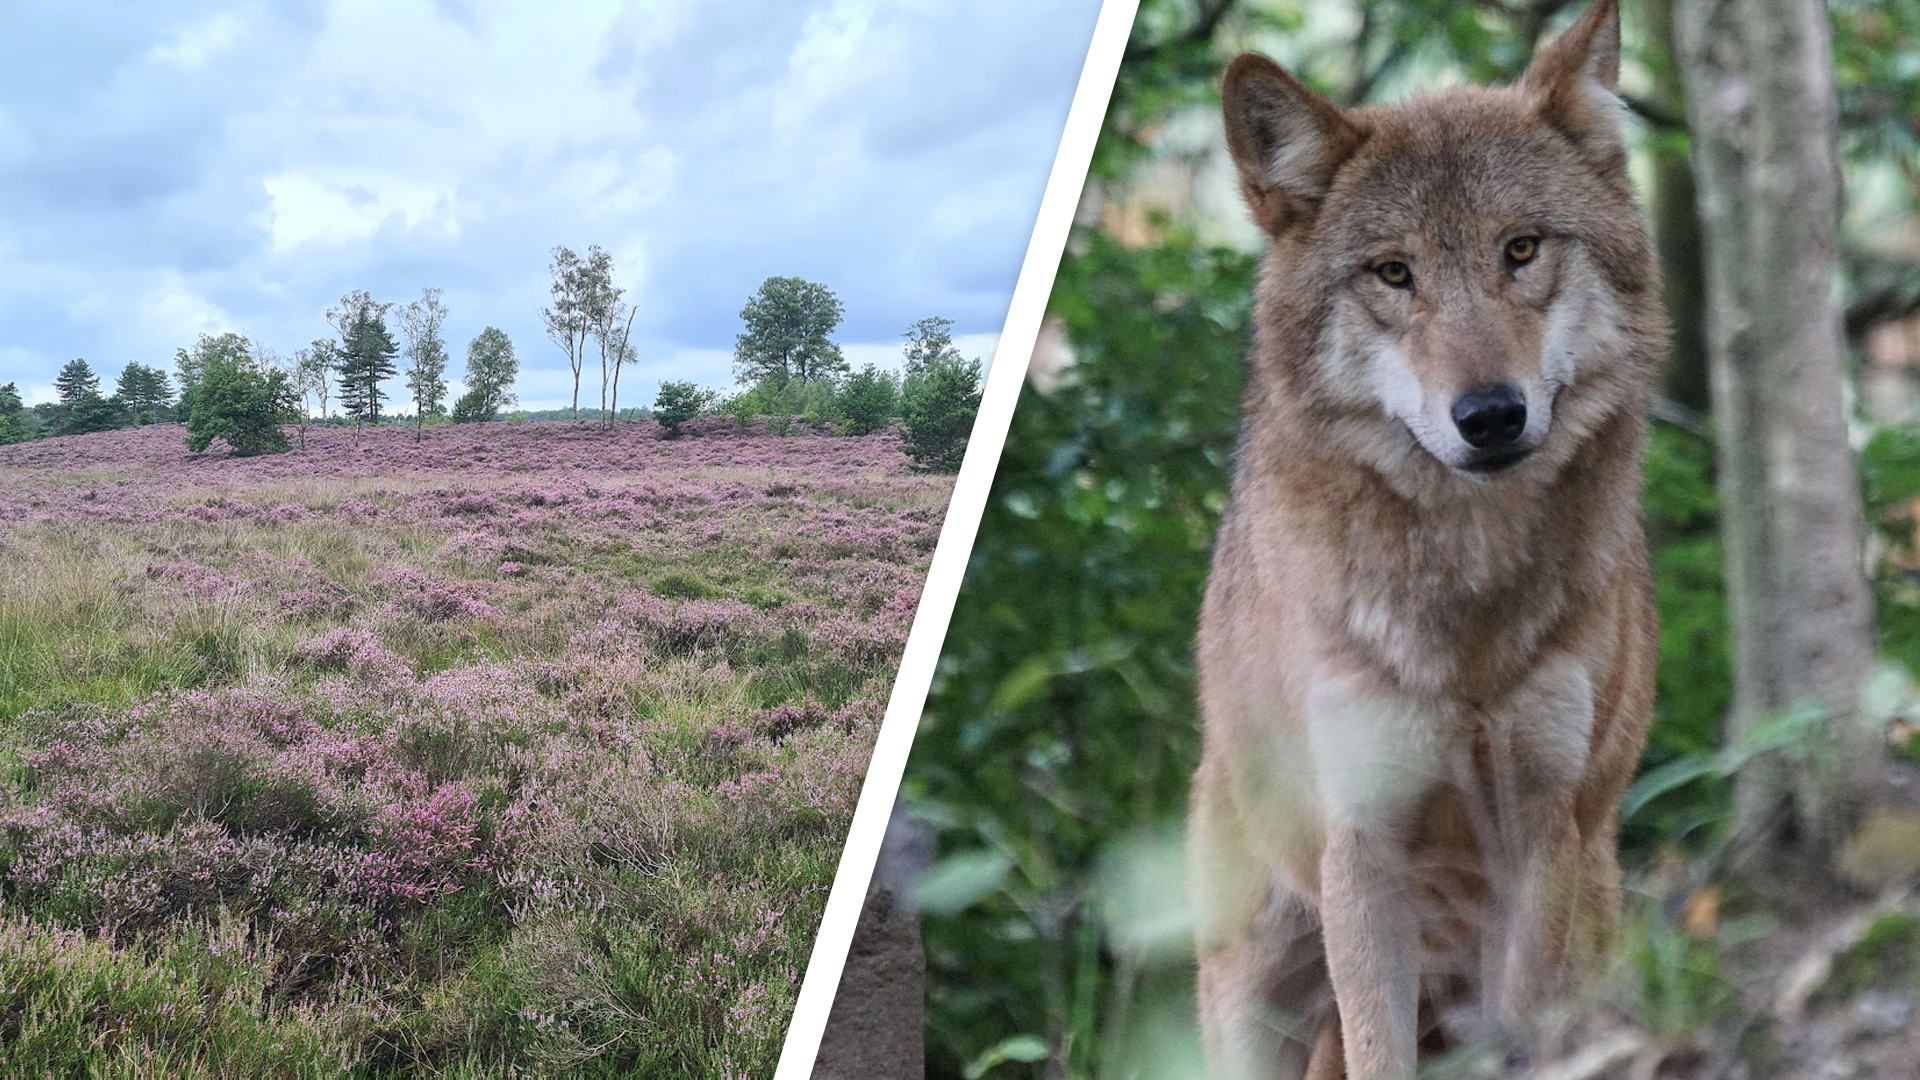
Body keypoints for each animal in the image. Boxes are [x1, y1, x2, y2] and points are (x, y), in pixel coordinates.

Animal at [1186, 2, 1666, 1077]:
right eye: (1394, 273)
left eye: (1521, 250)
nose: (1489, 415)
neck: (1466, 609)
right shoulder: (1364, 848)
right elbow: (1380, 1054)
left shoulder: (1540, 832)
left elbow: (1522, 1036)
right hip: (1257, 990)